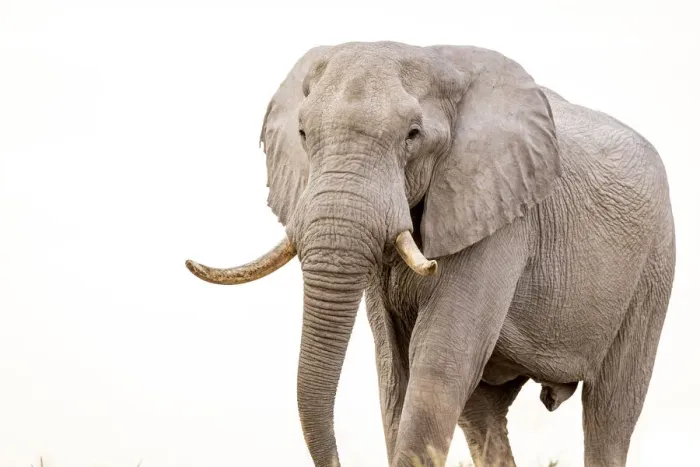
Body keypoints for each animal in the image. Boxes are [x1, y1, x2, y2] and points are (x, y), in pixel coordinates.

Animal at [186, 42, 675, 467]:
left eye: (413, 135)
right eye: (304, 134)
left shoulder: (500, 214)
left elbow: (439, 357)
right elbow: (394, 369)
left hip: (654, 268)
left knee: (610, 412)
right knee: (482, 414)